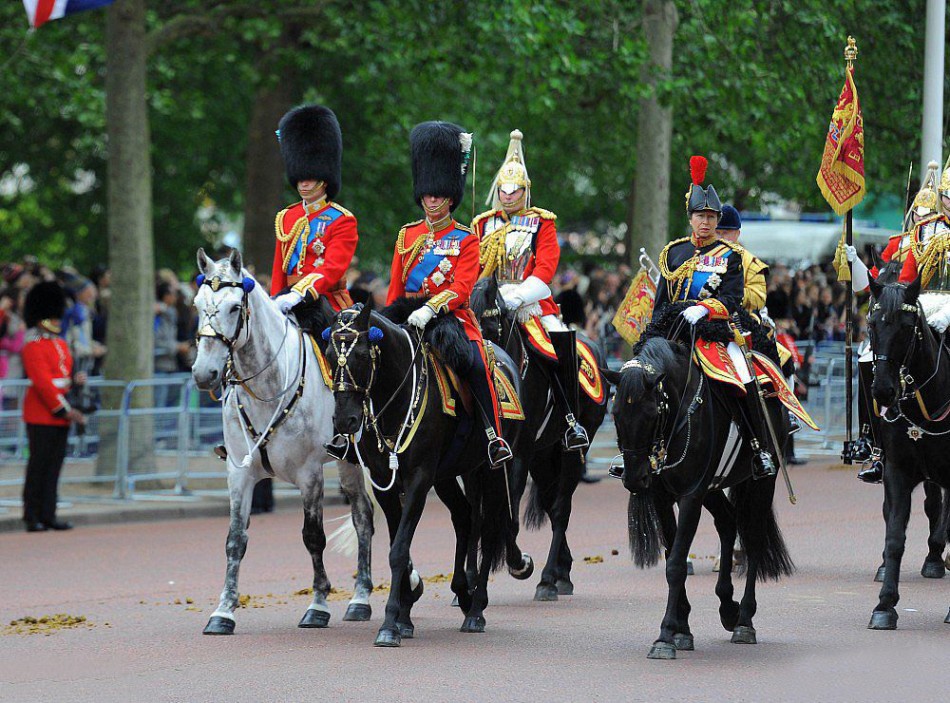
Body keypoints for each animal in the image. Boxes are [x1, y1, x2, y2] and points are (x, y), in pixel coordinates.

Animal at [328, 306, 528, 648]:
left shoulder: (419, 479)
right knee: (464, 518)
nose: (345, 420)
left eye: (362, 355)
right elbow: (401, 545)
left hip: (491, 470)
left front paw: (390, 623)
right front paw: (404, 616)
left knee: (489, 530)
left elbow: (398, 551)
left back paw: (476, 610)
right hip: (450, 475)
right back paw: (463, 592)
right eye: (330, 355)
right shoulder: (386, 483)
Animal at [472, 280, 612, 600]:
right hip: (543, 454)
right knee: (550, 502)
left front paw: (518, 563)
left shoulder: (519, 454)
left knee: (560, 509)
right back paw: (563, 572)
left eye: (489, 322)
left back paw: (548, 580)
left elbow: (508, 517)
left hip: (572, 448)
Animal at [604, 336, 796, 660]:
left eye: (652, 413)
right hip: (713, 488)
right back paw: (728, 607)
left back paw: (744, 620)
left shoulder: (691, 495)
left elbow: (676, 564)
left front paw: (665, 636)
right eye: (616, 414)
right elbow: (673, 555)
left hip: (761, 483)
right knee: (728, 523)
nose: (635, 478)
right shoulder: (663, 497)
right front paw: (682, 628)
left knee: (753, 536)